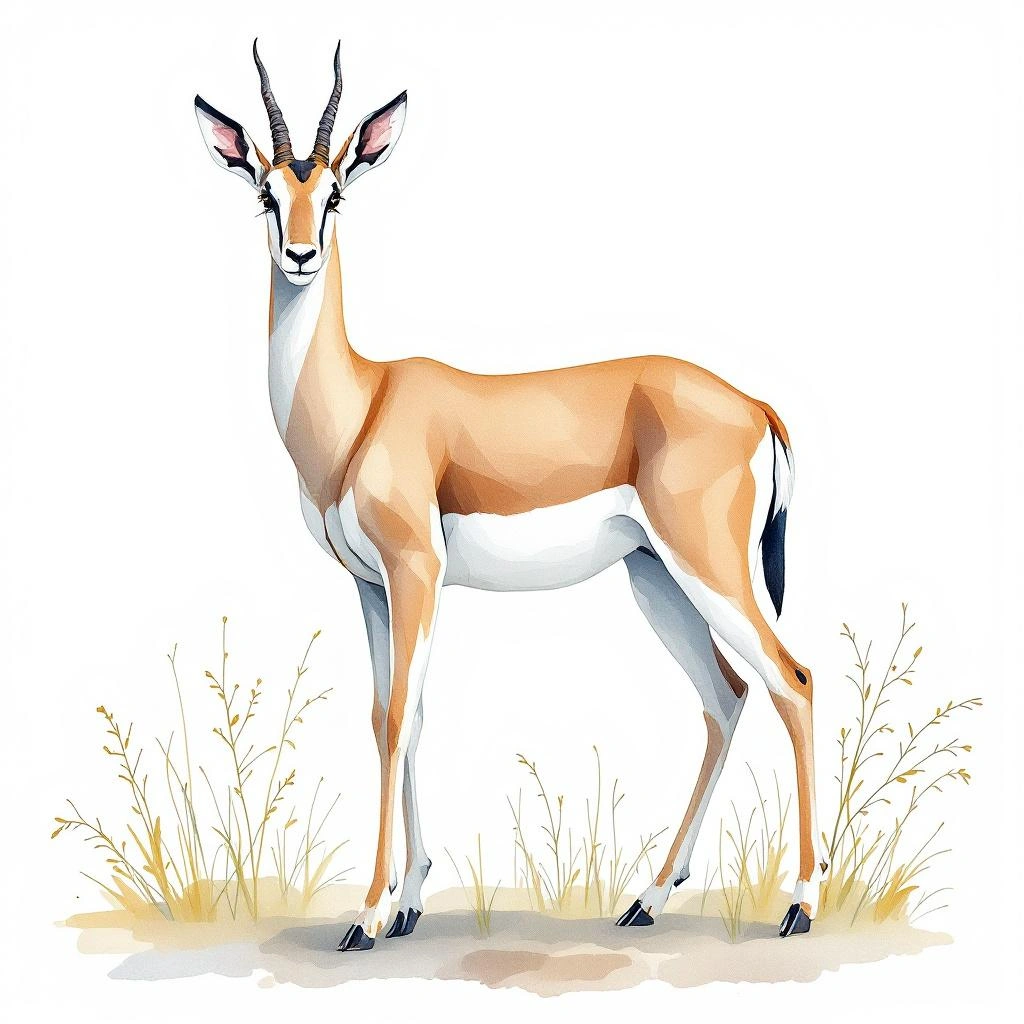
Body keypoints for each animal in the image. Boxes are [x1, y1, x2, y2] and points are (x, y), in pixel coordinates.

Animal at [195, 41, 826, 951]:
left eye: (337, 191)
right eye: (266, 193)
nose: (302, 255)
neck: (362, 404)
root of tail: (756, 406)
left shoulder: (416, 572)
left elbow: (397, 718)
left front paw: (367, 915)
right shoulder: (372, 587)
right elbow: (395, 715)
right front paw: (407, 903)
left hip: (709, 565)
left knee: (793, 681)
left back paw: (800, 904)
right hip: (655, 576)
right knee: (726, 695)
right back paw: (647, 898)